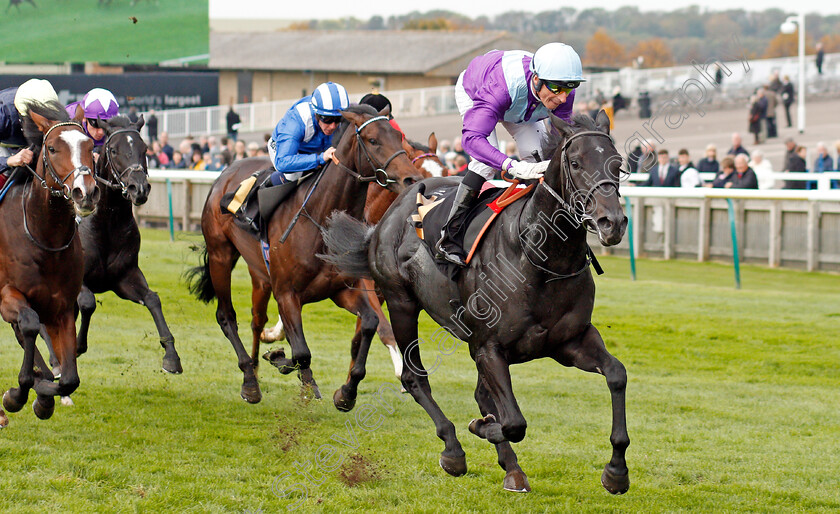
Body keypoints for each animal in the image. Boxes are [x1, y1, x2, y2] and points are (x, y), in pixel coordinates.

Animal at [0, 102, 99, 426]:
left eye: (90, 146)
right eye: (53, 148)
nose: (85, 192)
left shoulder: (62, 307)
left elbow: (69, 379)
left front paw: (43, 394)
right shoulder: (7, 295)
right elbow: (30, 324)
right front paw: (17, 394)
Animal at [184, 105, 420, 408]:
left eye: (398, 136)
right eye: (373, 140)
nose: (411, 179)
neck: (322, 222)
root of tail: (226, 172)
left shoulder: (344, 289)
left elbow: (369, 325)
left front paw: (346, 393)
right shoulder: (286, 292)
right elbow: (301, 353)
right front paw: (281, 360)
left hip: (260, 274)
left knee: (257, 320)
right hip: (220, 255)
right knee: (227, 316)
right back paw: (250, 381)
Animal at [322, 113, 632, 492]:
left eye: (618, 164)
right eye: (575, 163)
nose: (611, 222)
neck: (540, 257)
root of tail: (387, 218)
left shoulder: (570, 341)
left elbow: (616, 374)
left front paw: (616, 470)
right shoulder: (488, 347)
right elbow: (513, 422)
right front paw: (479, 427)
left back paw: (510, 468)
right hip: (400, 301)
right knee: (414, 376)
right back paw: (453, 448)